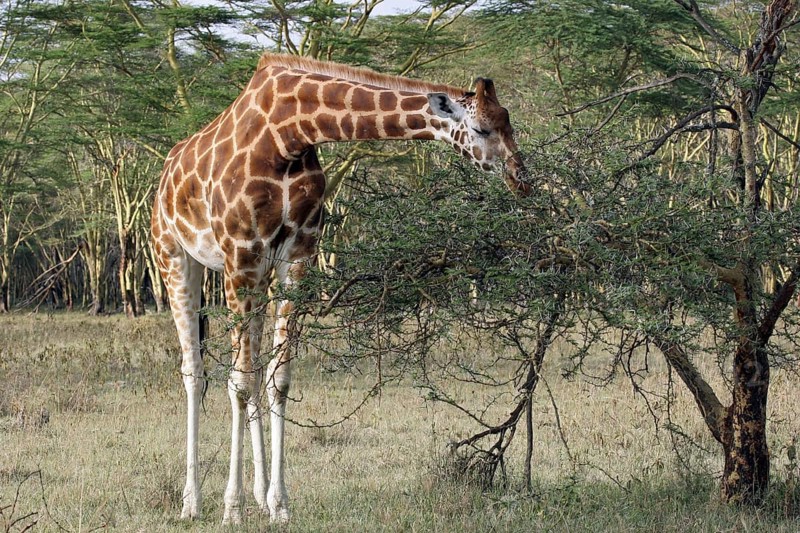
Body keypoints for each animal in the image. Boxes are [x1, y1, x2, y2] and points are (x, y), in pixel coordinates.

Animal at [150, 53, 529, 524]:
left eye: (509, 122)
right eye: (481, 129)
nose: (521, 177)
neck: (290, 132)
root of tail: (165, 175)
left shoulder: (297, 255)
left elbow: (277, 378)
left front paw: (278, 504)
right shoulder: (241, 252)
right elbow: (237, 383)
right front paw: (231, 509)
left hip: (252, 276)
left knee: (251, 370)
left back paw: (257, 494)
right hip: (175, 256)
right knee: (194, 371)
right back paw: (192, 501)